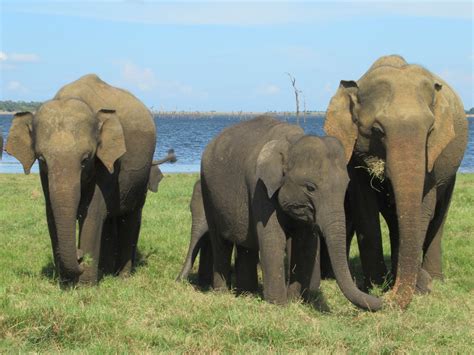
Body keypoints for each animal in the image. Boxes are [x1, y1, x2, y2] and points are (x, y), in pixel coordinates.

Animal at [6, 73, 157, 286]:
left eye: (85, 160)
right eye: (42, 159)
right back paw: (105, 271)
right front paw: (65, 283)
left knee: (131, 216)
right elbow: (51, 212)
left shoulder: (108, 162)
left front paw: (85, 286)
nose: (80, 256)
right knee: (109, 219)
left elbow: (92, 212)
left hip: (141, 177)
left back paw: (122, 277)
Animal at [199, 115, 382, 310]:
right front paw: (278, 305)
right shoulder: (260, 187)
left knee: (245, 245)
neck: (292, 142)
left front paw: (296, 302)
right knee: (220, 243)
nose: (381, 300)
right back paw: (222, 293)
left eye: (346, 186)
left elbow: (306, 244)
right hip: (208, 191)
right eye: (310, 188)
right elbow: (273, 240)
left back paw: (247, 293)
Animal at [324, 55, 468, 308]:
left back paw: (435, 278)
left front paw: (416, 286)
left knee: (440, 215)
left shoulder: (433, 159)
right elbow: (365, 209)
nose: (388, 298)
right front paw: (375, 284)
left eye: (430, 130)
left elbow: (424, 208)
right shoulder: (354, 155)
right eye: (377, 130)